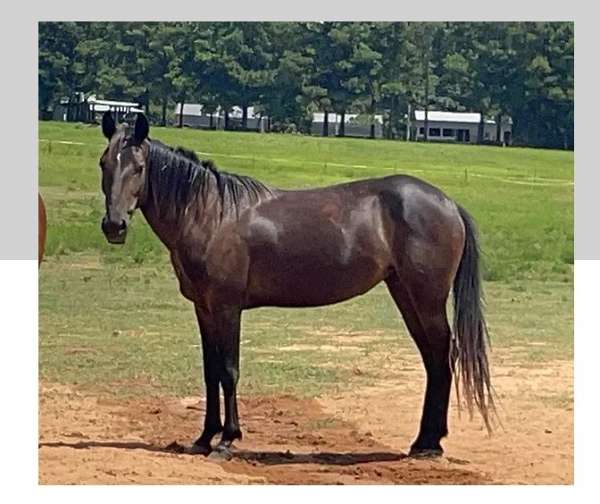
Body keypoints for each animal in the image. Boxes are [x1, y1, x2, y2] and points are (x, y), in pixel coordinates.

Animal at [97, 111, 492, 460]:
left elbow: (229, 371)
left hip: (427, 299)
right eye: (104, 164)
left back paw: (431, 445)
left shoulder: (227, 308)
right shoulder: (204, 308)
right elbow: (210, 372)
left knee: (442, 356)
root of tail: (448, 204)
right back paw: (423, 441)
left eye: (138, 167)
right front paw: (204, 438)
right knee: (432, 358)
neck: (210, 214)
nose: (114, 226)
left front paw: (227, 440)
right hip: (405, 294)